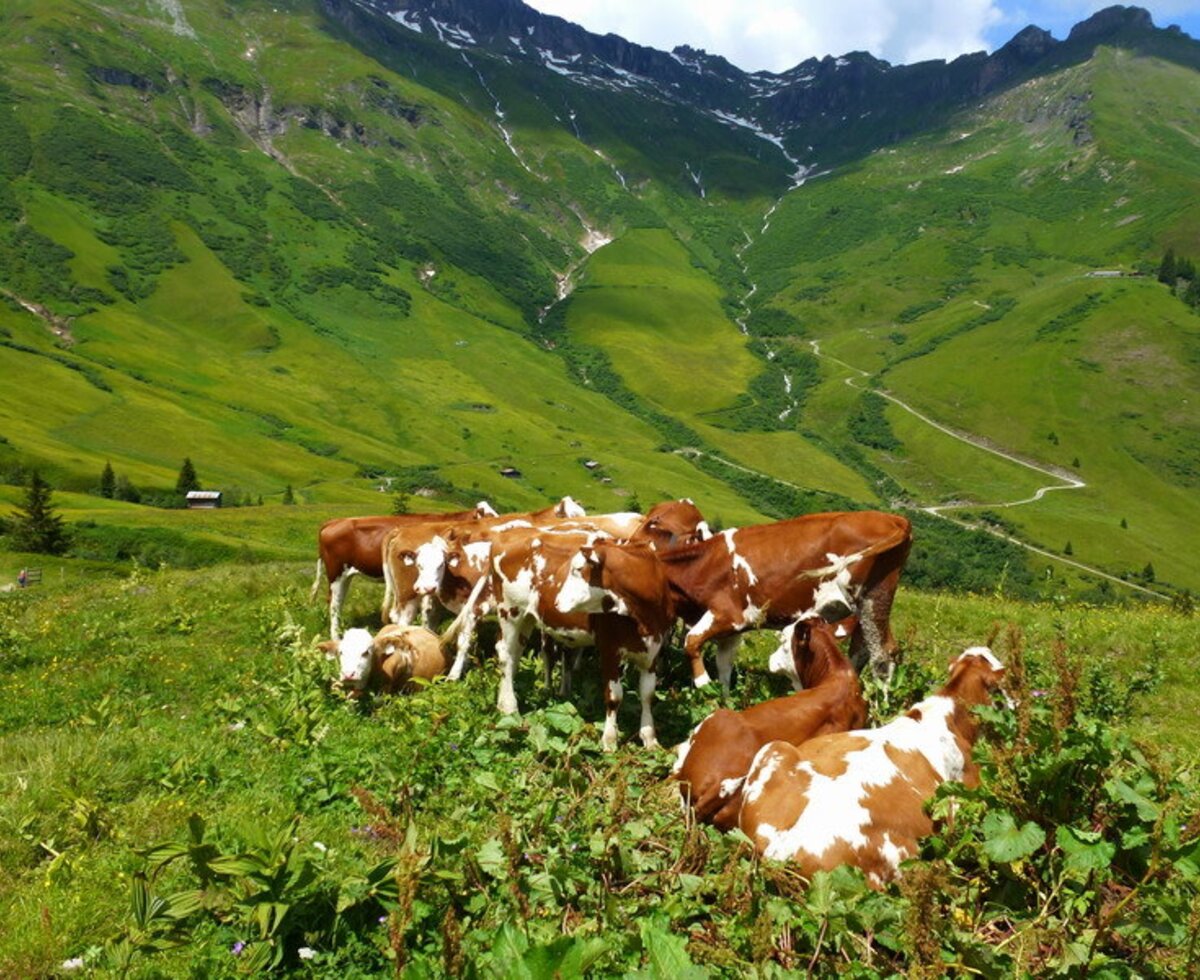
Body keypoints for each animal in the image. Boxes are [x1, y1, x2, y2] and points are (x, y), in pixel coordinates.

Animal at [312, 501, 498, 638]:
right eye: (489, 516)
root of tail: (334, 521)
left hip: (346, 575)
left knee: (338, 602)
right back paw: (336, 637)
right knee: (334, 604)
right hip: (335, 574)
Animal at [655, 511, 912, 688]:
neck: (705, 563)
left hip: (872, 599)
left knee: (882, 655)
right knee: (863, 651)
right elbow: (724, 669)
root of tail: (893, 518)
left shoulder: (728, 615)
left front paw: (703, 686)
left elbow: (691, 642)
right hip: (864, 608)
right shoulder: (732, 631)